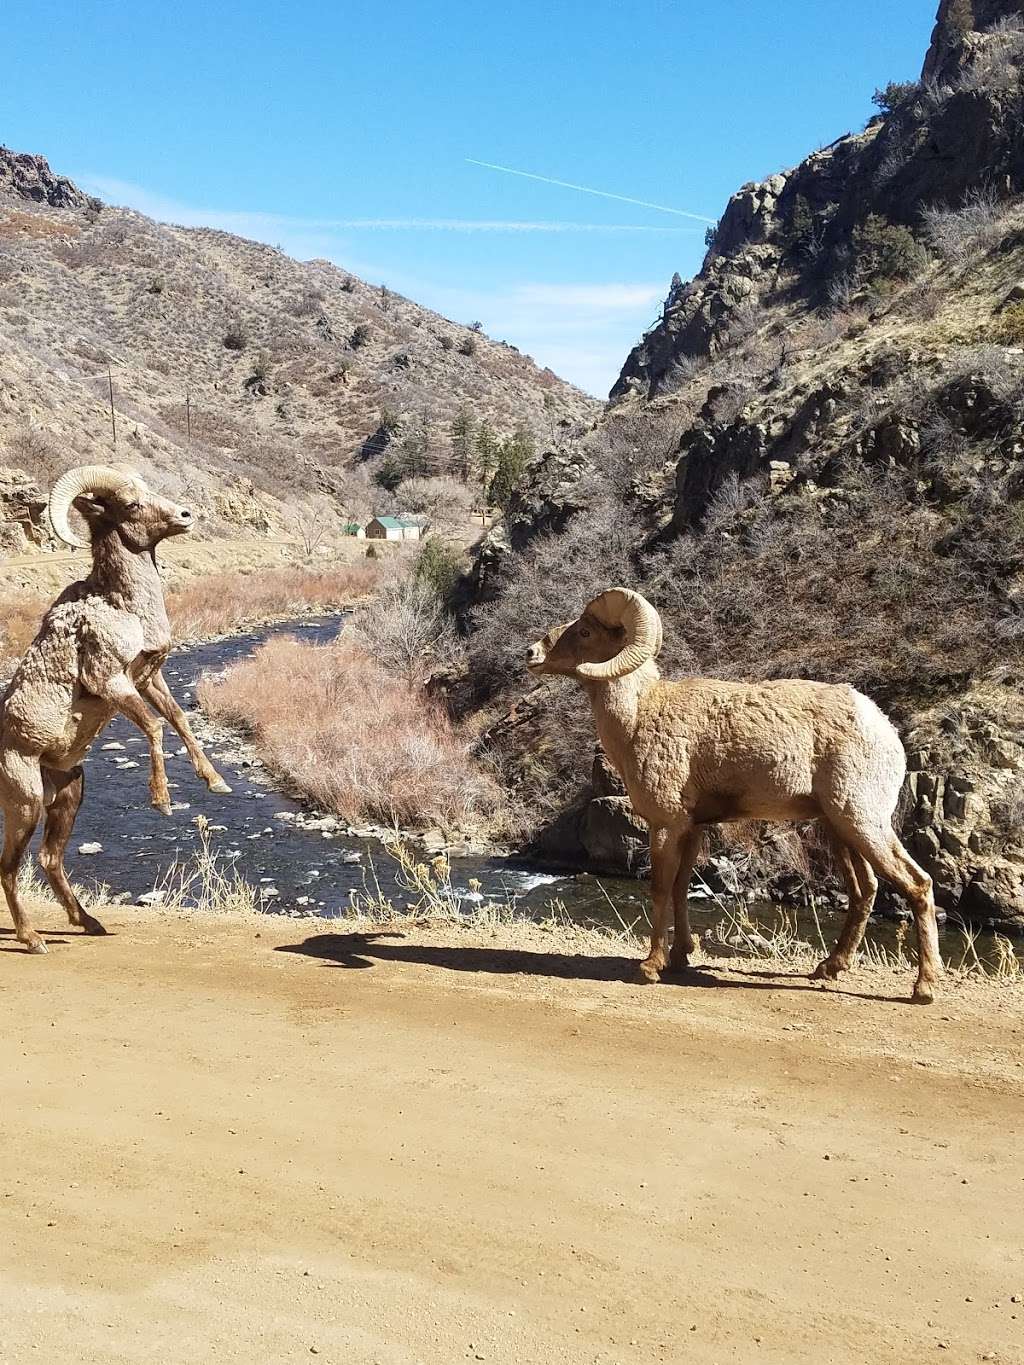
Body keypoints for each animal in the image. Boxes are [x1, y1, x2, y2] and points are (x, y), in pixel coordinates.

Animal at [0, 464, 232, 955]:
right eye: (131, 504)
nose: (185, 516)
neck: (124, 606)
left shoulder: (149, 678)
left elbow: (178, 719)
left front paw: (216, 782)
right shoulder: (112, 681)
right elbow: (154, 727)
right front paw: (162, 802)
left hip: (68, 795)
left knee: (49, 858)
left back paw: (88, 923)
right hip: (25, 804)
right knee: (9, 867)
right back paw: (33, 940)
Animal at [529, 584, 944, 1004]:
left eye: (585, 632)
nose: (531, 653)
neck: (640, 715)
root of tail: (885, 729)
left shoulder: (665, 826)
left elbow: (660, 889)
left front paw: (650, 967)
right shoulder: (692, 829)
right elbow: (680, 888)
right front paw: (680, 958)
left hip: (863, 823)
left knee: (917, 884)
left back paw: (923, 988)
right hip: (840, 830)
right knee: (865, 891)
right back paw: (828, 969)